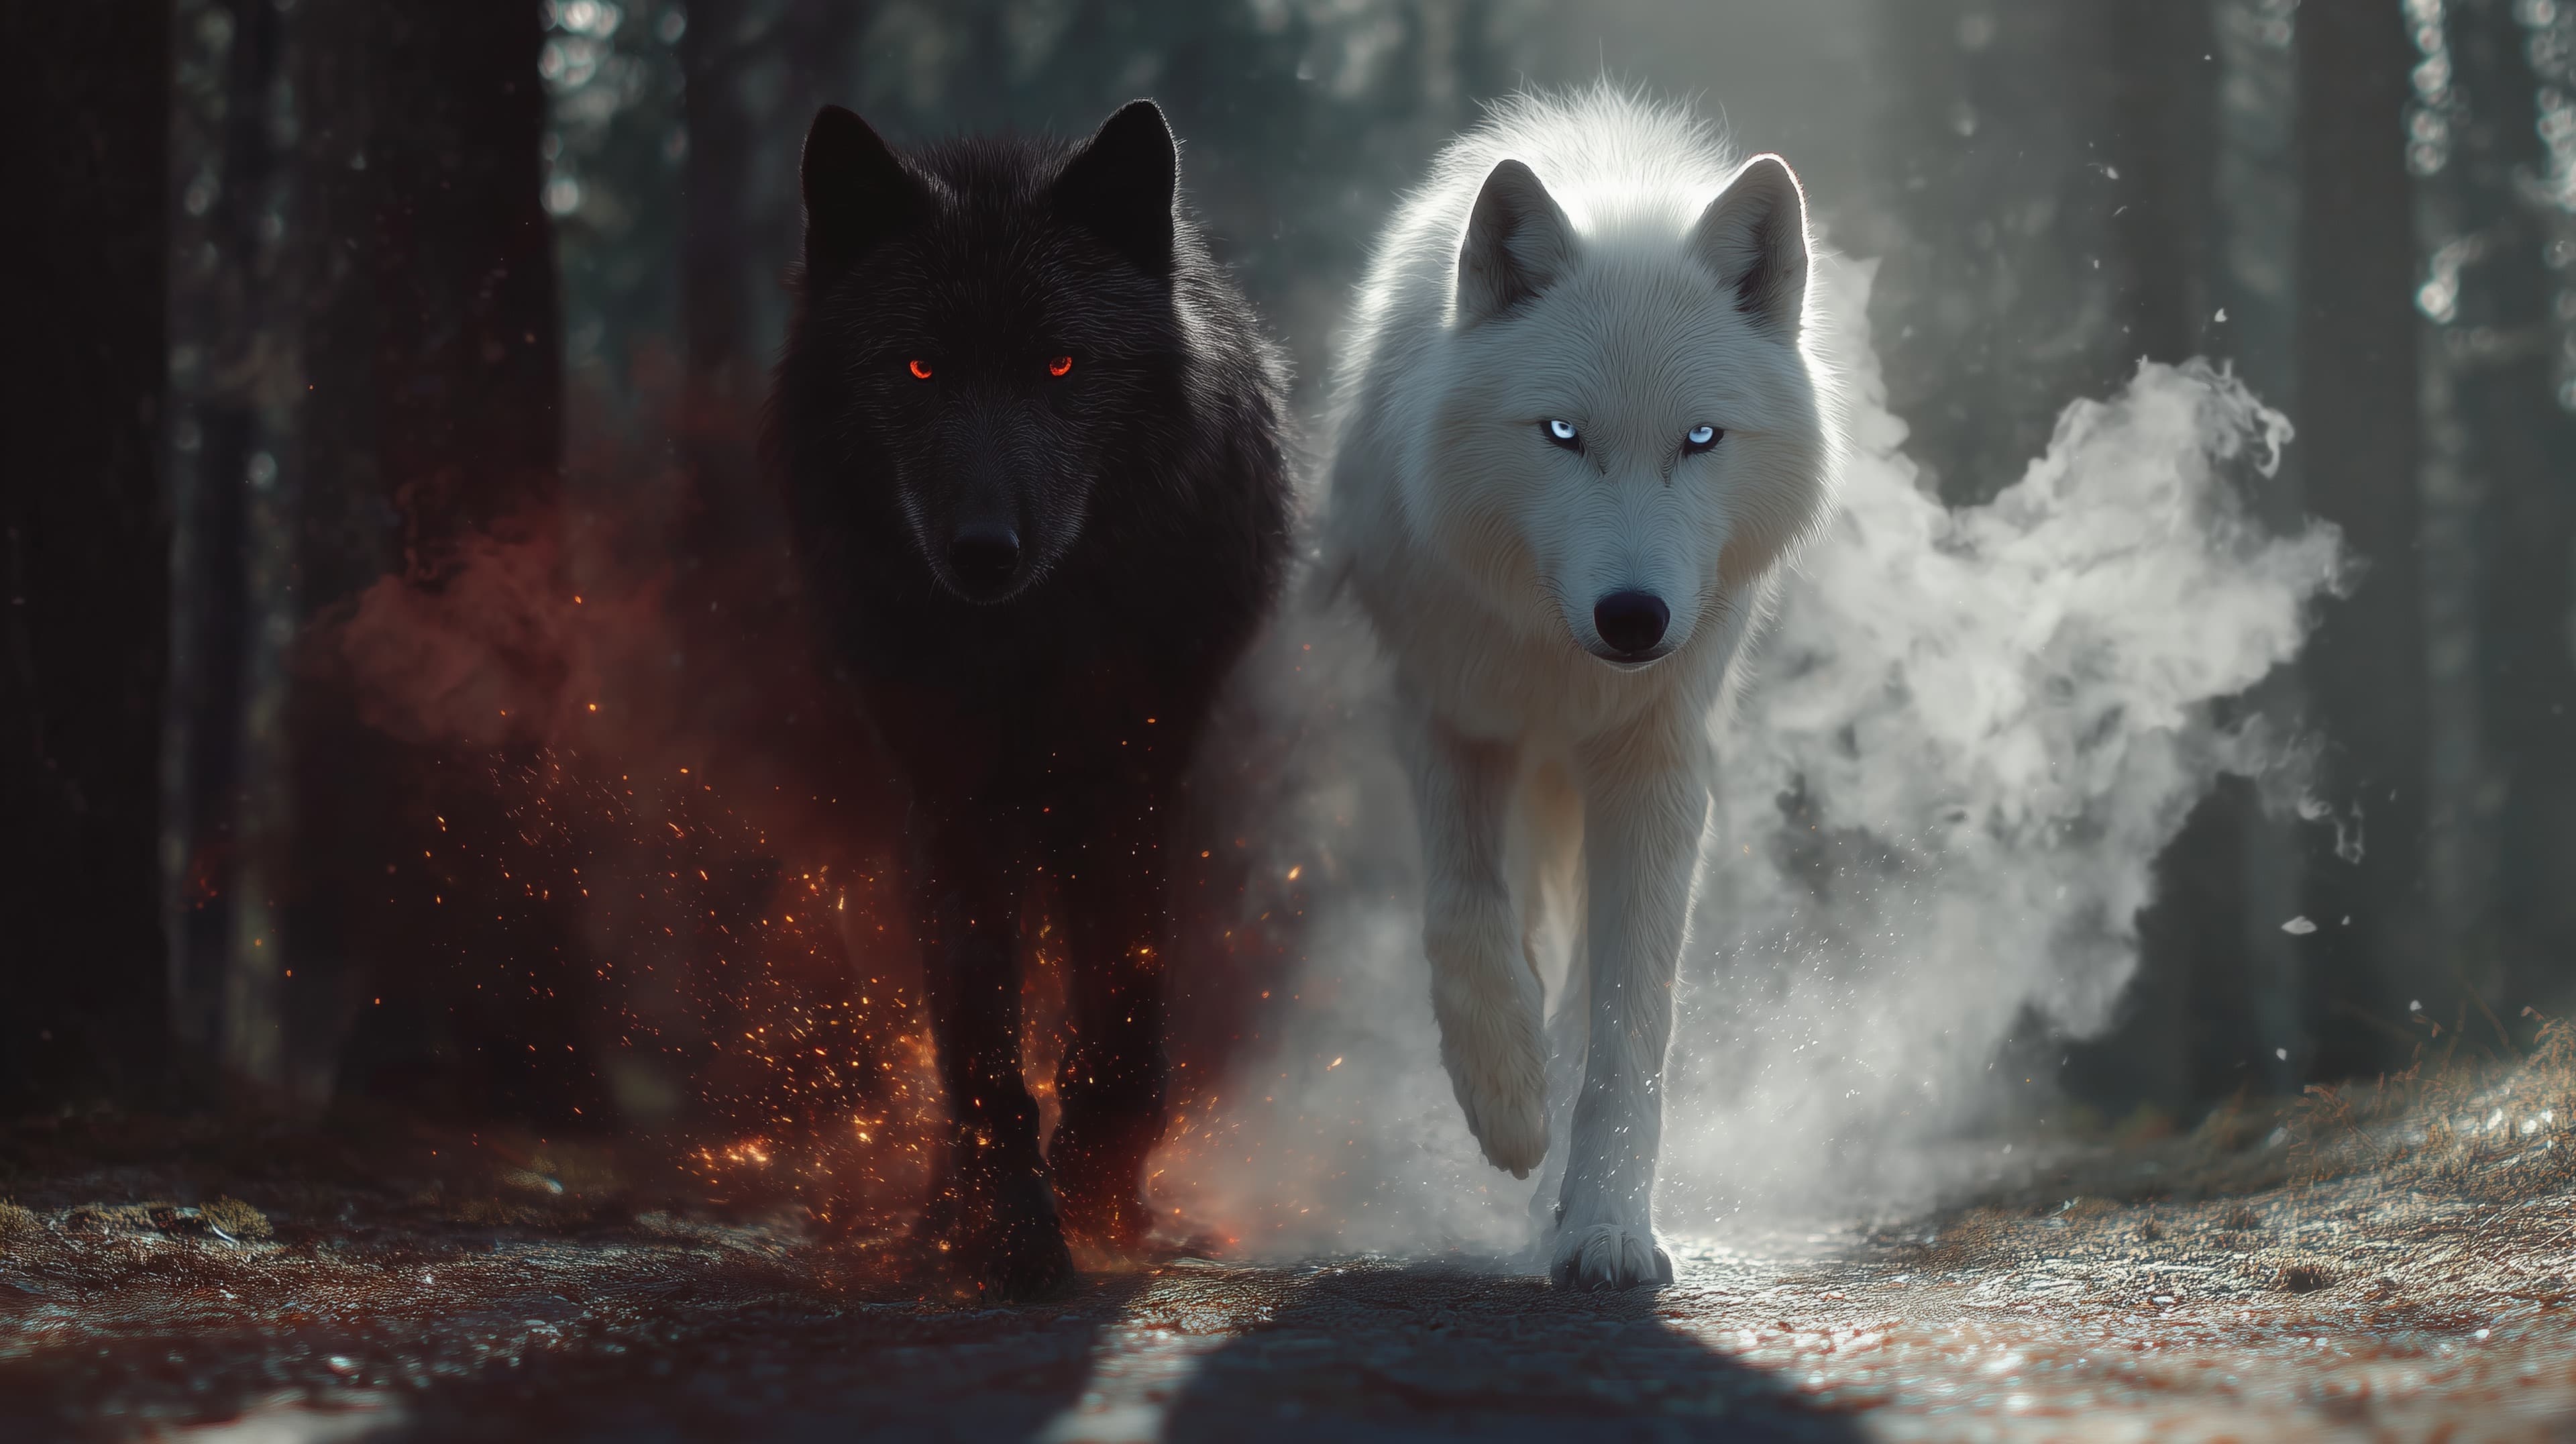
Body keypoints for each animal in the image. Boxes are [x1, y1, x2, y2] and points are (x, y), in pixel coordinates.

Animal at [769, 100, 1294, 1298]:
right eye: (919, 367)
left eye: (1060, 364)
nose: (982, 552)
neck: (1031, 645)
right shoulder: (948, 795)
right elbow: (978, 1040)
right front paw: (1001, 1223)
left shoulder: (1133, 772)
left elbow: (1128, 1017)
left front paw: (1097, 1189)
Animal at [1321, 90, 1836, 1289]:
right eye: (1562, 434)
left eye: (1701, 439)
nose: (1634, 618)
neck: (1564, 664)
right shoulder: (1447, 713)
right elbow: (1465, 919)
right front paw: (1507, 1106)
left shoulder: (1656, 762)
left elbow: (1631, 1028)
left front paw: (1604, 1226)